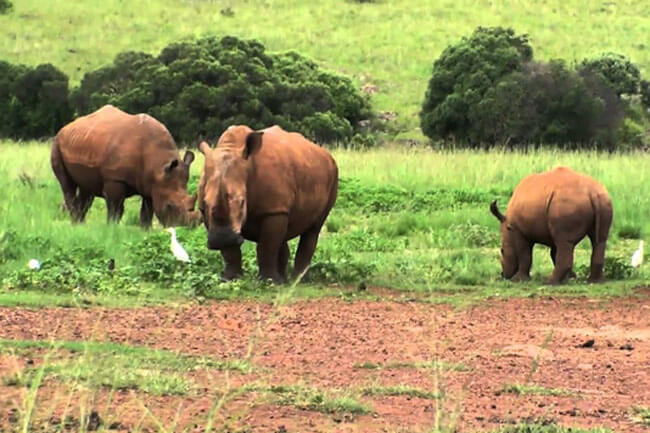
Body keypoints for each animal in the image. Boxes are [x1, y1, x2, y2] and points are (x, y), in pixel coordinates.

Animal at [51, 104, 197, 226]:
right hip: (57, 144)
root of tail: (66, 127)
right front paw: (111, 229)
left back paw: (81, 225)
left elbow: (147, 212)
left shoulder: (152, 184)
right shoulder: (114, 178)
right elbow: (116, 209)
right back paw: (76, 224)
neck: (159, 165)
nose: (185, 228)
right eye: (169, 205)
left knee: (86, 189)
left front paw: (145, 231)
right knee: (68, 186)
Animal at [197, 124, 340, 284]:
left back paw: (297, 281)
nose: (222, 238)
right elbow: (230, 252)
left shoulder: (274, 210)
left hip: (333, 175)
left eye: (242, 202)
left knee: (313, 229)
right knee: (284, 232)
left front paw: (269, 282)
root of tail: (326, 154)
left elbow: (266, 247)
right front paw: (229, 279)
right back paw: (284, 279)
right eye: (203, 205)